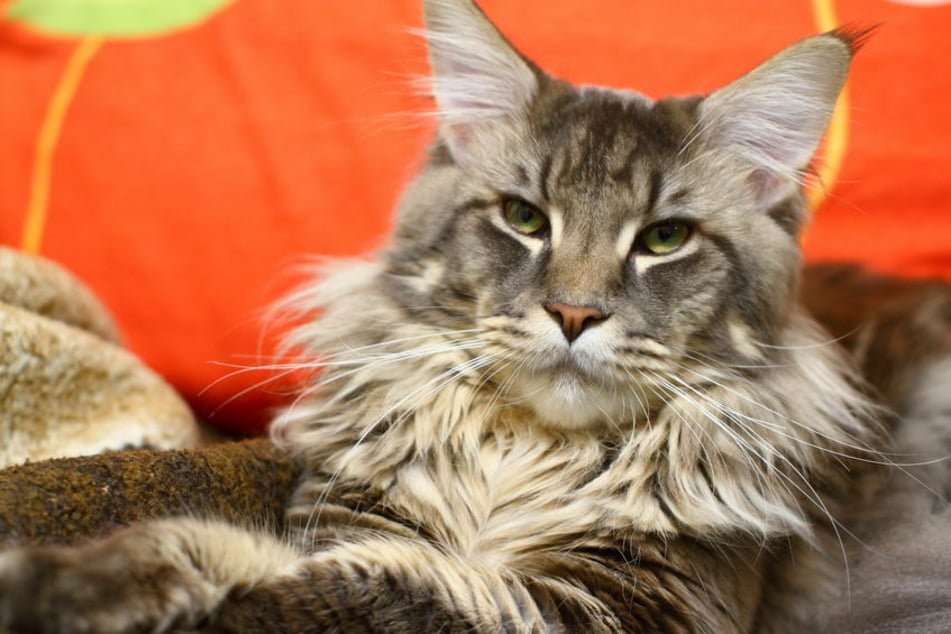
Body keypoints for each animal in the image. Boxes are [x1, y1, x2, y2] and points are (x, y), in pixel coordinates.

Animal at [0, 1, 924, 632]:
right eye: (523, 218)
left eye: (664, 239)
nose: (574, 312)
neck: (521, 458)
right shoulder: (356, 519)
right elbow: (219, 547)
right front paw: (78, 581)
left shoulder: (616, 600)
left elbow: (331, 594)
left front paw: (51, 592)